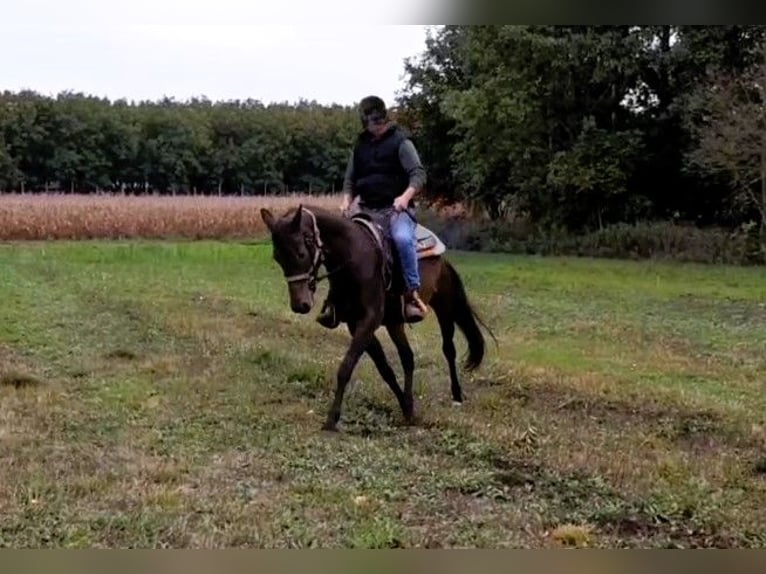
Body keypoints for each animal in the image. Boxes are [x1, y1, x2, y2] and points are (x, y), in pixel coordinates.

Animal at [260, 202, 496, 432]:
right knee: (408, 357)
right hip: (395, 322)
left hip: (444, 308)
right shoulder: (356, 324)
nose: (300, 305)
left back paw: (457, 395)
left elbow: (346, 367)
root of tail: (443, 261)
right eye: (277, 258)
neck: (353, 257)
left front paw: (331, 419)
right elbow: (385, 369)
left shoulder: (369, 321)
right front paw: (406, 408)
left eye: (300, 253)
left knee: (448, 350)